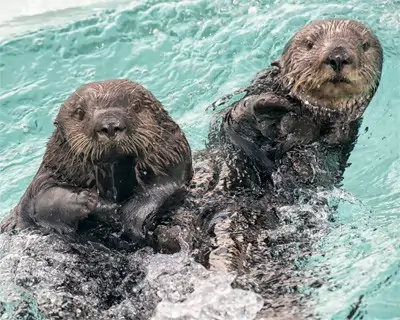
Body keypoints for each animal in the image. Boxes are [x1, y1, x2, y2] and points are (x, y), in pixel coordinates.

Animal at [0, 79, 194, 242]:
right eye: (80, 112)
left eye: (136, 105)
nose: (109, 125)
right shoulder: (50, 173)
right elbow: (44, 200)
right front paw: (89, 199)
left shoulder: (170, 157)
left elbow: (161, 188)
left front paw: (132, 217)